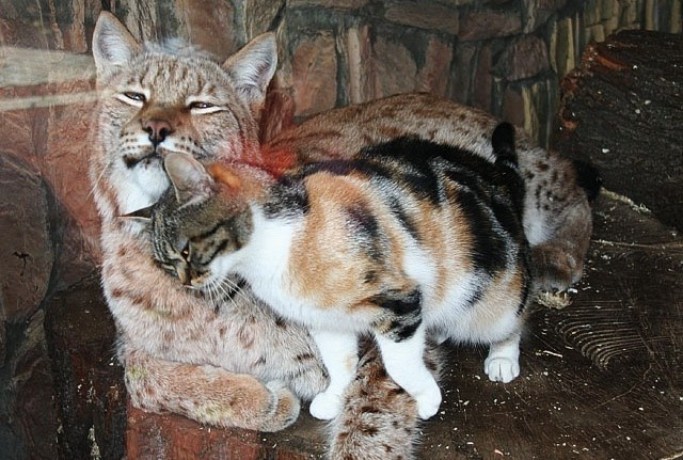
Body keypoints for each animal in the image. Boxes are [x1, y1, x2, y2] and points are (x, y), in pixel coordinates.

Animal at [143, 122, 528, 420]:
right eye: (166, 264)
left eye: (186, 250)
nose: (186, 283)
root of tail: (497, 177)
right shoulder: (325, 319)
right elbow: (339, 362)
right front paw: (334, 397)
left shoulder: (398, 302)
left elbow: (399, 364)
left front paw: (427, 399)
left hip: (492, 300)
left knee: (513, 319)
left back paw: (501, 358)